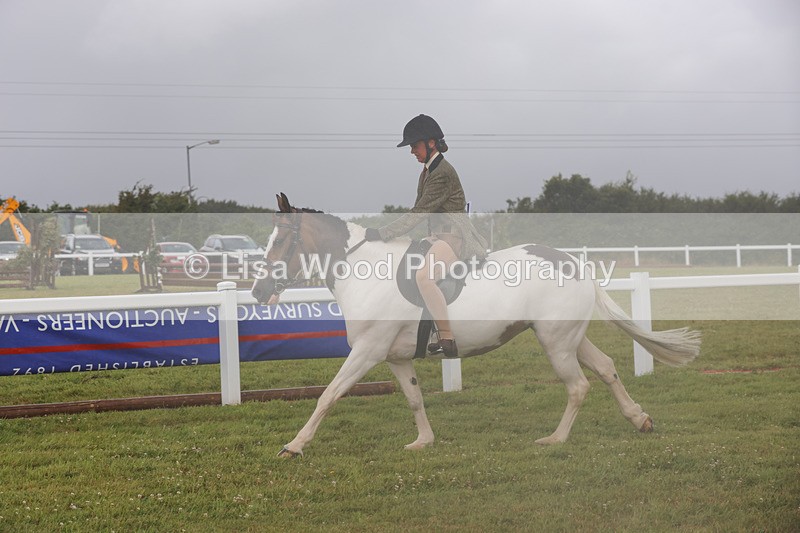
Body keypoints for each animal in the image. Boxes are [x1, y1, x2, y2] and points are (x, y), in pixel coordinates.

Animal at [251, 193, 701, 458]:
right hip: (568, 337)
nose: (258, 291)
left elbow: (328, 395)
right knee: (606, 368)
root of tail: (572, 261)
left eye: (279, 242)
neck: (363, 268)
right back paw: (639, 419)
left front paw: (294, 445)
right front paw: (424, 441)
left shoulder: (366, 351)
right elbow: (414, 399)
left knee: (578, 386)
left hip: (556, 343)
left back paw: (555, 439)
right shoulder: (395, 358)